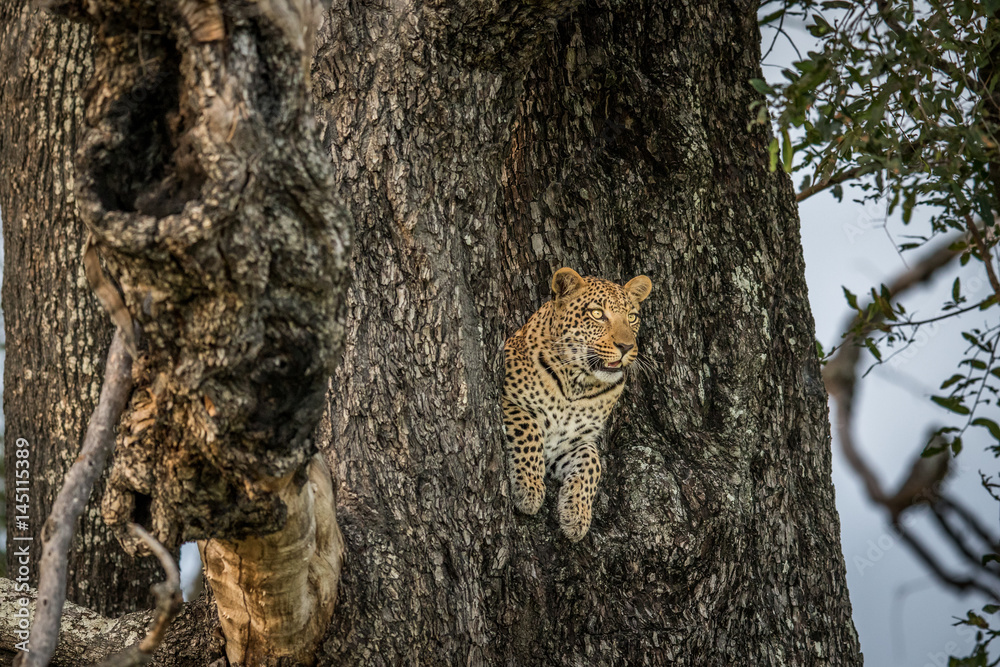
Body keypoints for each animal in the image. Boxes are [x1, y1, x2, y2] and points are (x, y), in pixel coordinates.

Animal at [502, 267, 653, 542]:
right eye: (597, 314)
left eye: (632, 317)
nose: (626, 346)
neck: (577, 386)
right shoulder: (508, 400)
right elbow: (529, 430)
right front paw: (529, 490)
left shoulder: (573, 442)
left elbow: (593, 463)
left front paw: (577, 516)